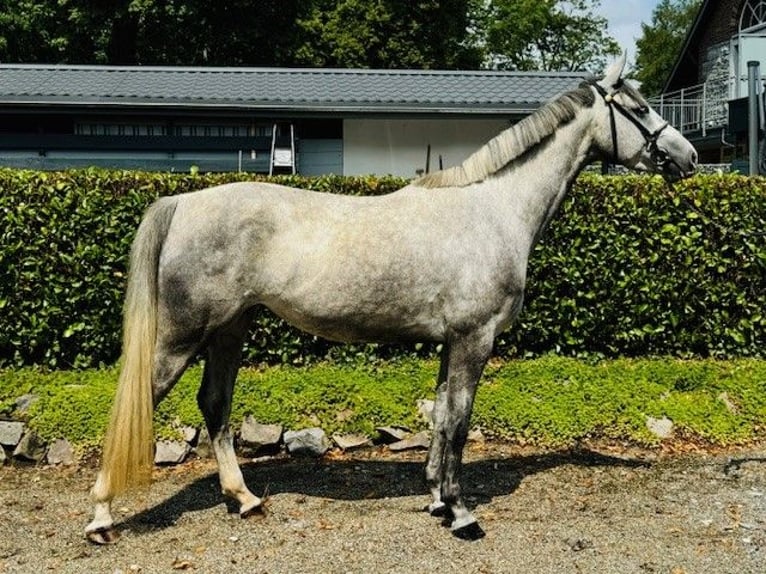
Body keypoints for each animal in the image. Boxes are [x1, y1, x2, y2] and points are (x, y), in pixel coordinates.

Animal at [87, 55, 700, 544]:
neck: (493, 209)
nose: (688, 156)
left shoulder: (452, 342)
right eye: (639, 107)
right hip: (181, 336)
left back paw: (245, 500)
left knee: (215, 405)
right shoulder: (474, 339)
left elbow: (441, 416)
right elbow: (459, 422)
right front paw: (462, 515)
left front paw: (437, 499)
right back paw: (100, 518)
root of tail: (185, 202)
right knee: (141, 401)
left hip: (229, 330)